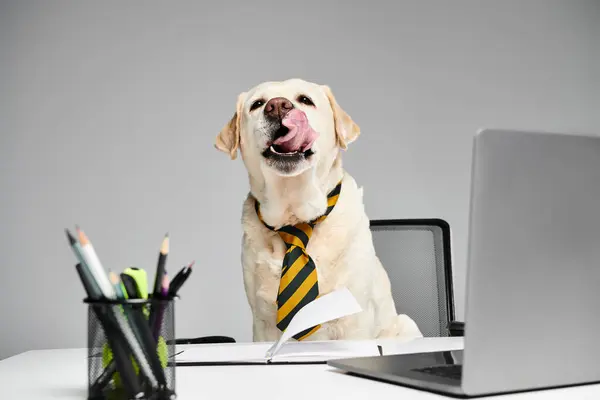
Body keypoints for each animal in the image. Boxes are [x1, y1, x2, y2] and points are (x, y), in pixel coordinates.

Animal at [214, 79, 422, 342]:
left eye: (305, 100)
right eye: (257, 104)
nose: (277, 106)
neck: (295, 220)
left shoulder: (353, 320)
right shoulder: (263, 326)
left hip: (405, 324)